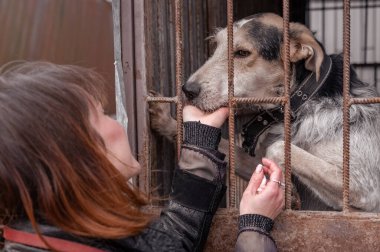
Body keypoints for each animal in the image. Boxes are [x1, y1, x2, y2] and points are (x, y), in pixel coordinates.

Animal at [150, 12, 380, 212]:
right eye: (216, 46)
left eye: (242, 53)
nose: (187, 90)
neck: (302, 105)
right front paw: (167, 119)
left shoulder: (364, 187)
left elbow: (277, 148)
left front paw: (288, 191)